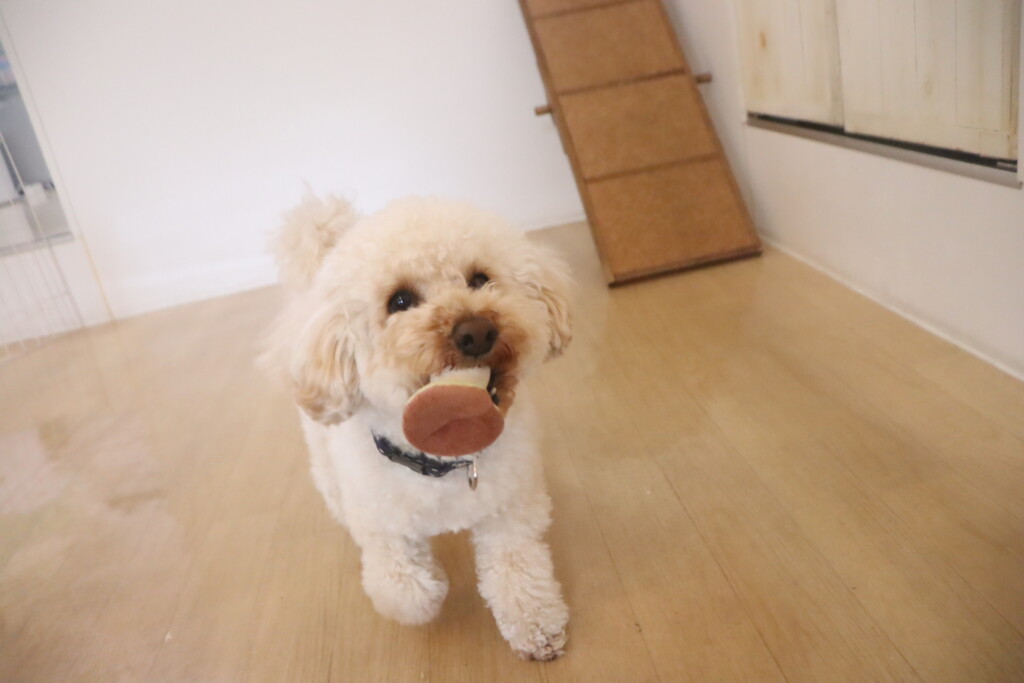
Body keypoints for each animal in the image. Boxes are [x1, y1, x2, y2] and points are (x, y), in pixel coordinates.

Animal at [261, 194, 573, 660]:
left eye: (480, 279)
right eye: (400, 301)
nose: (476, 331)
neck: (442, 461)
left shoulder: (510, 511)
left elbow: (518, 571)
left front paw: (536, 626)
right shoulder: (382, 526)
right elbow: (404, 589)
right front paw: (435, 584)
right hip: (326, 466)